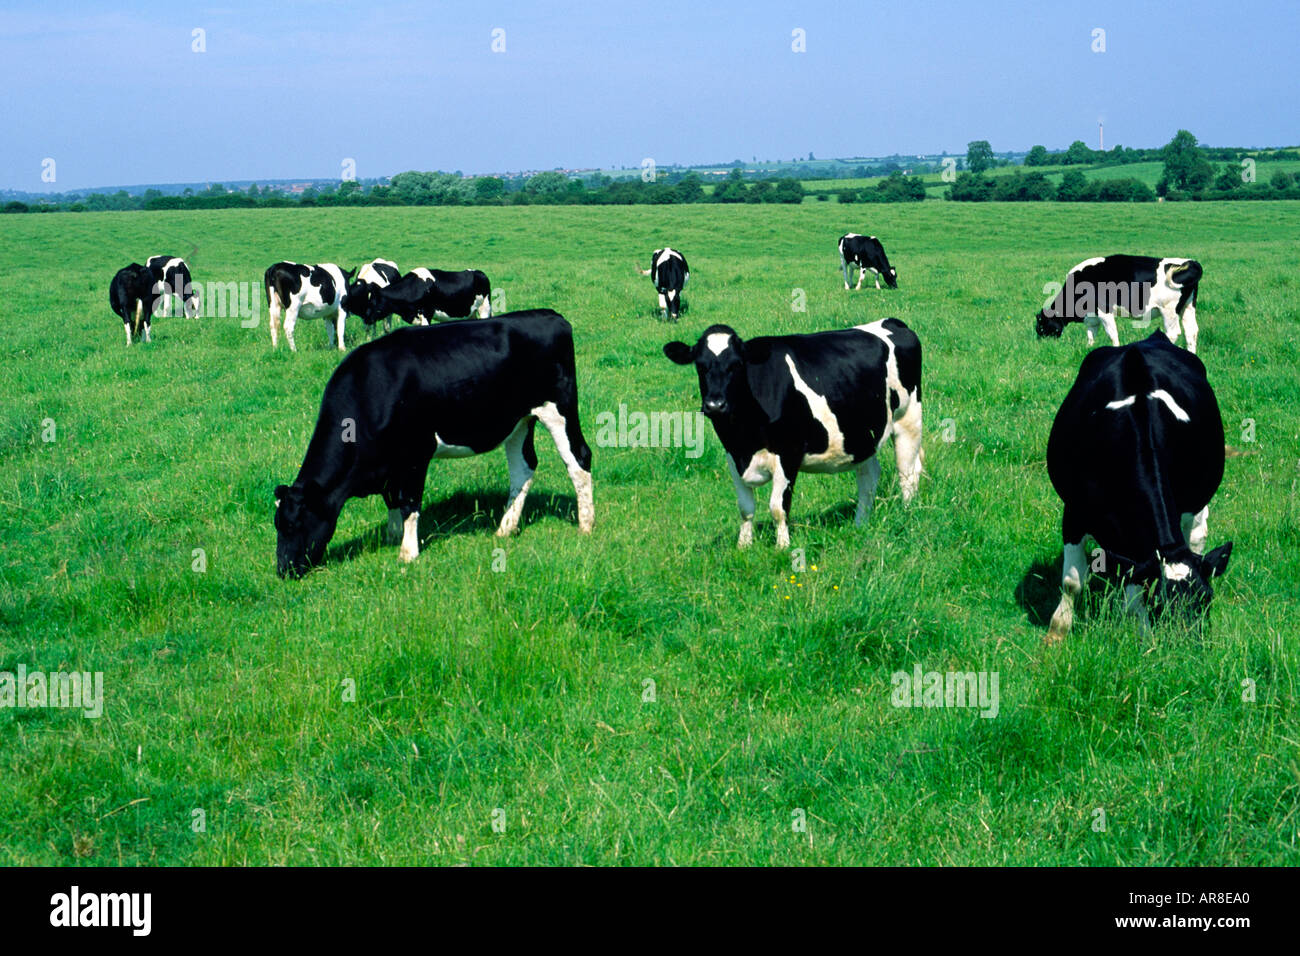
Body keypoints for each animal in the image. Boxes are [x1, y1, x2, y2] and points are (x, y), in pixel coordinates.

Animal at [273, 310, 594, 578]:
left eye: (293, 524)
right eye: (277, 524)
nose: (283, 571)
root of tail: (552, 316)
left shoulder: (416, 454)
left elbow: (409, 502)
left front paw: (407, 552)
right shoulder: (391, 466)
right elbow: (392, 498)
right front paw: (392, 537)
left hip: (559, 408)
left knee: (579, 459)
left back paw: (586, 526)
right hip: (518, 422)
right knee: (524, 468)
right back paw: (505, 528)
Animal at [356, 268, 493, 329]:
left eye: (372, 302)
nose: (365, 319)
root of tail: (479, 272)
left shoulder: (426, 314)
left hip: (485, 308)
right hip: (471, 312)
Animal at [663, 318, 923, 549]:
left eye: (737, 364)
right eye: (700, 365)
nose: (715, 405)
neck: (744, 440)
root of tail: (893, 322)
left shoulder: (787, 454)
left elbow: (778, 508)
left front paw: (782, 547)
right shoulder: (733, 457)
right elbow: (745, 508)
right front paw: (743, 546)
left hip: (908, 418)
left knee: (907, 473)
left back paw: (907, 514)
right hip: (861, 438)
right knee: (869, 478)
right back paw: (860, 524)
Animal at [1036, 255, 1203, 353]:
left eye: (1042, 327)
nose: (1042, 346)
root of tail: (1190, 262)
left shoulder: (1104, 309)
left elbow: (1112, 333)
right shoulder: (1092, 316)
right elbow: (1091, 333)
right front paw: (1088, 348)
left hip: (1168, 310)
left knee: (1173, 333)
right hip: (1188, 307)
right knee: (1191, 331)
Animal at [1044, 331, 1232, 644]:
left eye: (1207, 598)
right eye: (1160, 601)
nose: (1185, 647)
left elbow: (1135, 579)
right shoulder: (1074, 511)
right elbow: (1073, 581)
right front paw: (1057, 631)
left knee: (1196, 536)